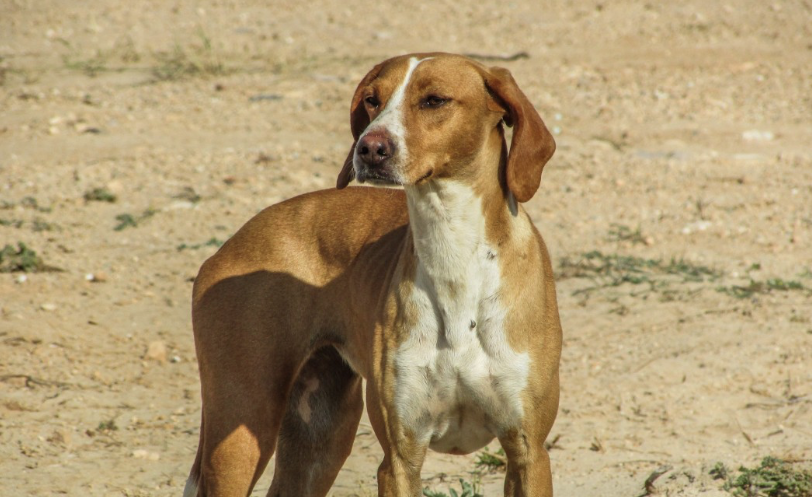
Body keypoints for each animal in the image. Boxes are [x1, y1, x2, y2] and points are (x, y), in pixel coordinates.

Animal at [185, 52, 560, 494]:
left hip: (318, 436)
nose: (370, 148)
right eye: (371, 100)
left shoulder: (528, 454)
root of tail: (229, 246)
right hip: (241, 428)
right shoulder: (399, 457)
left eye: (434, 100)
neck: (452, 250)